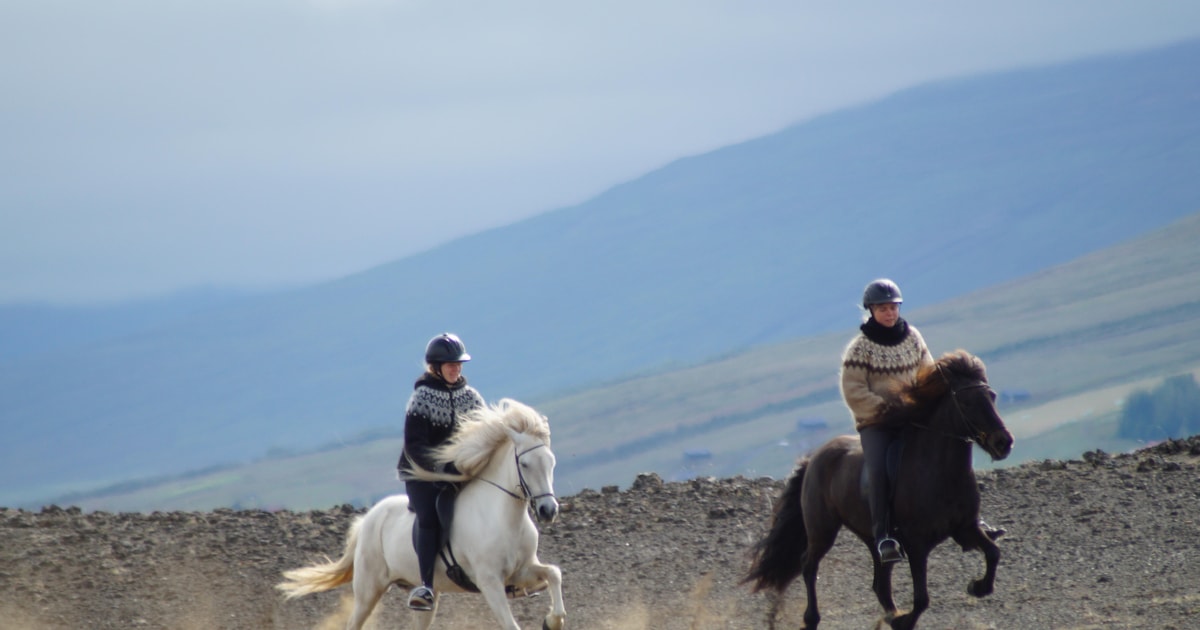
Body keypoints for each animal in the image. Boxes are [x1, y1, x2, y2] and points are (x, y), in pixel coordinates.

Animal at [276, 400, 566, 624]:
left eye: (552, 461)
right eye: (525, 464)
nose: (548, 511)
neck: (504, 518)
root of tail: (369, 518)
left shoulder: (521, 572)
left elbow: (554, 573)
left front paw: (554, 619)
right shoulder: (489, 582)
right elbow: (510, 624)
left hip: (427, 598)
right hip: (368, 591)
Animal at [748, 350, 1012, 628]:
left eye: (992, 396)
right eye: (967, 402)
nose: (1003, 443)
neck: (940, 473)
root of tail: (815, 457)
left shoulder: (966, 527)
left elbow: (993, 552)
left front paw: (978, 587)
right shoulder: (917, 544)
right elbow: (922, 599)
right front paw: (905, 620)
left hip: (874, 539)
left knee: (880, 584)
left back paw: (890, 615)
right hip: (822, 529)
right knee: (808, 565)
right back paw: (812, 619)